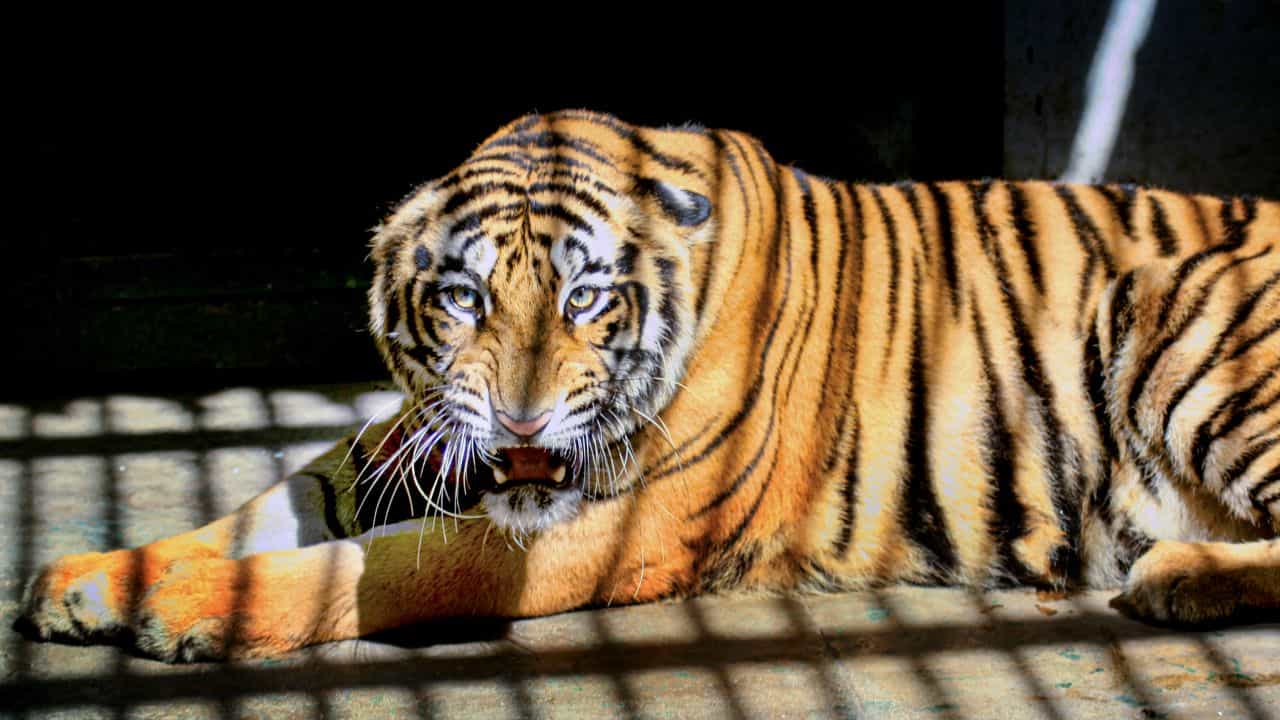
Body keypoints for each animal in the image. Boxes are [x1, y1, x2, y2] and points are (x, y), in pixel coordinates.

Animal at [17, 110, 1280, 662]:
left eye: (588, 299)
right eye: (463, 297)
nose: (521, 416)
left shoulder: (618, 520)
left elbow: (383, 569)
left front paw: (191, 610)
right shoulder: (405, 444)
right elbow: (263, 508)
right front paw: (92, 579)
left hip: (1172, 312)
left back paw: (1172, 576)